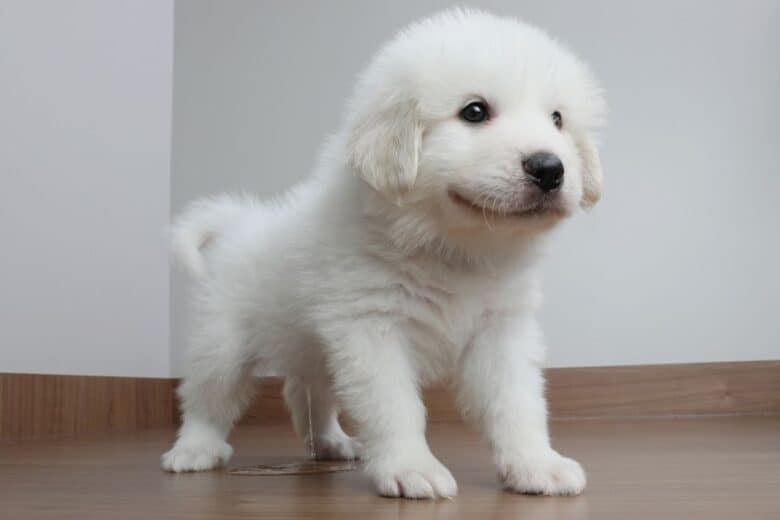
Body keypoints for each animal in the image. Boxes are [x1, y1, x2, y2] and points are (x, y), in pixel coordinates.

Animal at [161, 9, 608, 500]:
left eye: (557, 119)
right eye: (474, 112)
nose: (549, 168)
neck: (453, 249)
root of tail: (240, 223)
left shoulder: (501, 329)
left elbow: (517, 403)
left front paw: (535, 464)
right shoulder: (372, 328)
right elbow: (394, 405)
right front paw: (411, 468)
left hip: (314, 349)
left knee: (307, 392)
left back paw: (331, 443)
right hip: (222, 341)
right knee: (207, 398)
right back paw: (193, 450)